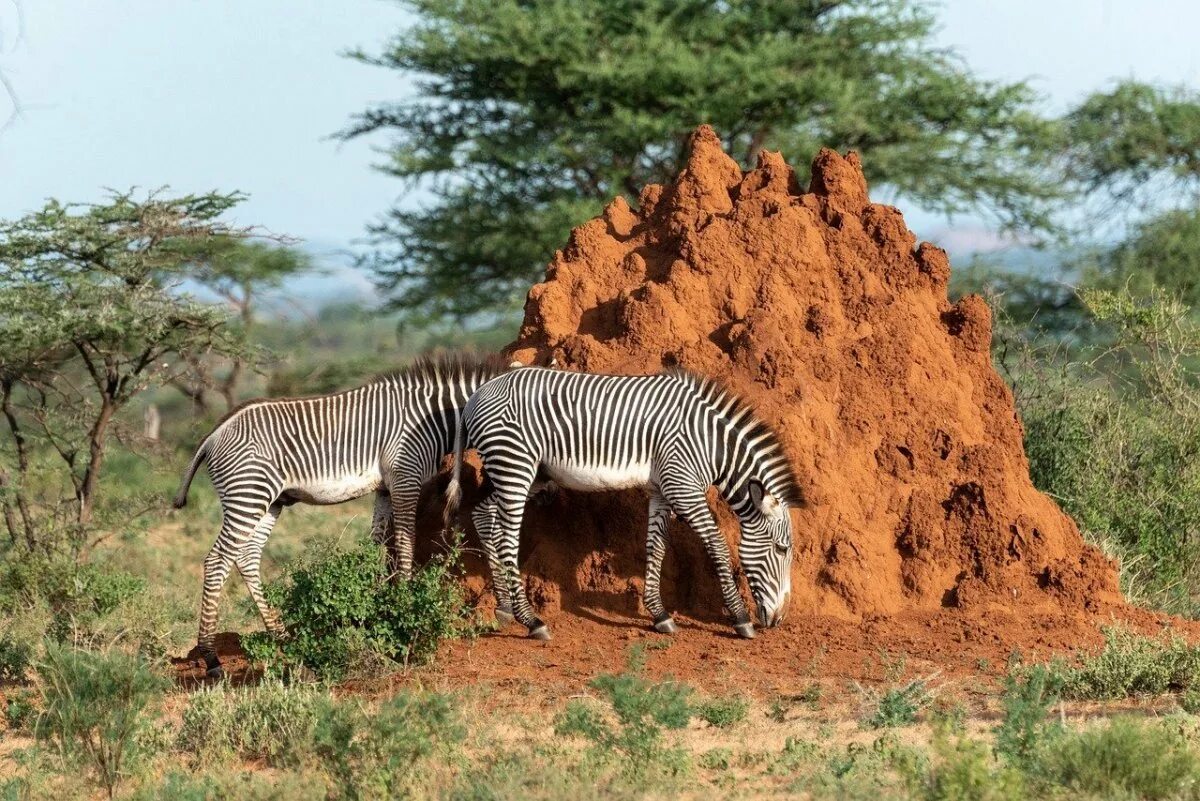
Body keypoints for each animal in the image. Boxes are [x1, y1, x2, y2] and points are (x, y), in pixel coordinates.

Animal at [171, 352, 504, 671]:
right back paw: (211, 657)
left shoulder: (385, 488)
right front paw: (404, 606)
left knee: (246, 556)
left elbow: (377, 545)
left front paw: (373, 607)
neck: (434, 417)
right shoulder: (405, 477)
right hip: (248, 493)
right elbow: (405, 543)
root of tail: (213, 435)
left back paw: (281, 636)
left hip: (269, 500)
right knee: (218, 561)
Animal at [446, 366, 801, 637]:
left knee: (482, 515)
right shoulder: (682, 486)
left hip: (524, 472)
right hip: (515, 465)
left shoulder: (662, 489)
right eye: (782, 549)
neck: (708, 443)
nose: (780, 620)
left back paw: (505, 607)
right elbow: (717, 546)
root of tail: (478, 394)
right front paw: (740, 619)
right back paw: (531, 621)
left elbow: (656, 547)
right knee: (506, 537)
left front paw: (660, 616)